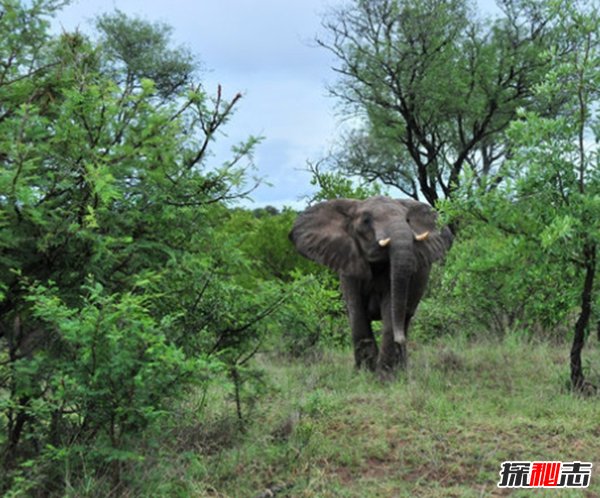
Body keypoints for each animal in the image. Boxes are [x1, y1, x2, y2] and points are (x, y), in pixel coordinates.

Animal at [288, 195, 452, 374]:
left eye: (408, 220)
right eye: (366, 221)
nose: (400, 339)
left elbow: (390, 311)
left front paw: (384, 376)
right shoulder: (348, 266)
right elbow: (356, 313)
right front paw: (364, 373)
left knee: (405, 318)